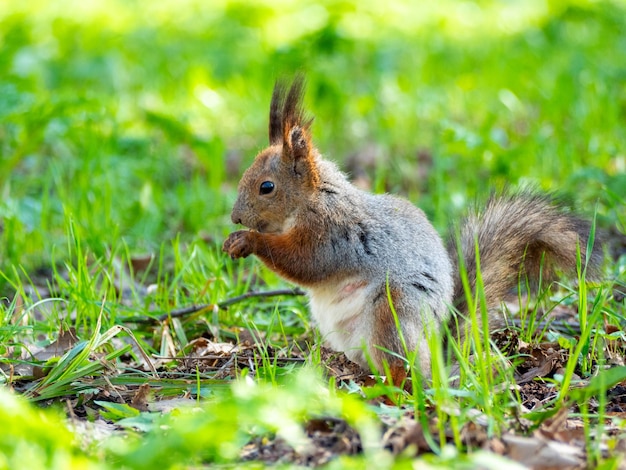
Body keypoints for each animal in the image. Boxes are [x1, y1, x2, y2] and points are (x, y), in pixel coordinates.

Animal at [223, 76, 600, 378]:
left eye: (267, 187)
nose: (236, 217)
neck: (315, 198)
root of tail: (439, 354)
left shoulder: (332, 231)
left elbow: (305, 263)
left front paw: (247, 240)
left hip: (394, 311)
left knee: (405, 370)